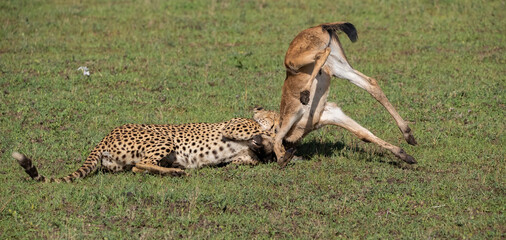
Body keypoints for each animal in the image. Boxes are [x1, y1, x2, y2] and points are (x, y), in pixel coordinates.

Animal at [11, 107, 278, 182]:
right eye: (264, 109)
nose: (256, 107)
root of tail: (106, 135)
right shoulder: (232, 127)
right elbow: (259, 131)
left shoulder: (246, 155)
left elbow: (249, 159)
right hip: (163, 139)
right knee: (141, 165)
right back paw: (176, 171)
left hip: (119, 163)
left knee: (137, 167)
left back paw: (173, 169)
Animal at [274, 22, 418, 167]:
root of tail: (321, 26)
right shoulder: (332, 114)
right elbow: (363, 134)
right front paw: (406, 156)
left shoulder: (293, 114)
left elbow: (277, 139)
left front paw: (283, 158)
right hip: (339, 67)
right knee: (371, 84)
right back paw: (408, 135)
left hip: (296, 62)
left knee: (322, 54)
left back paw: (305, 94)